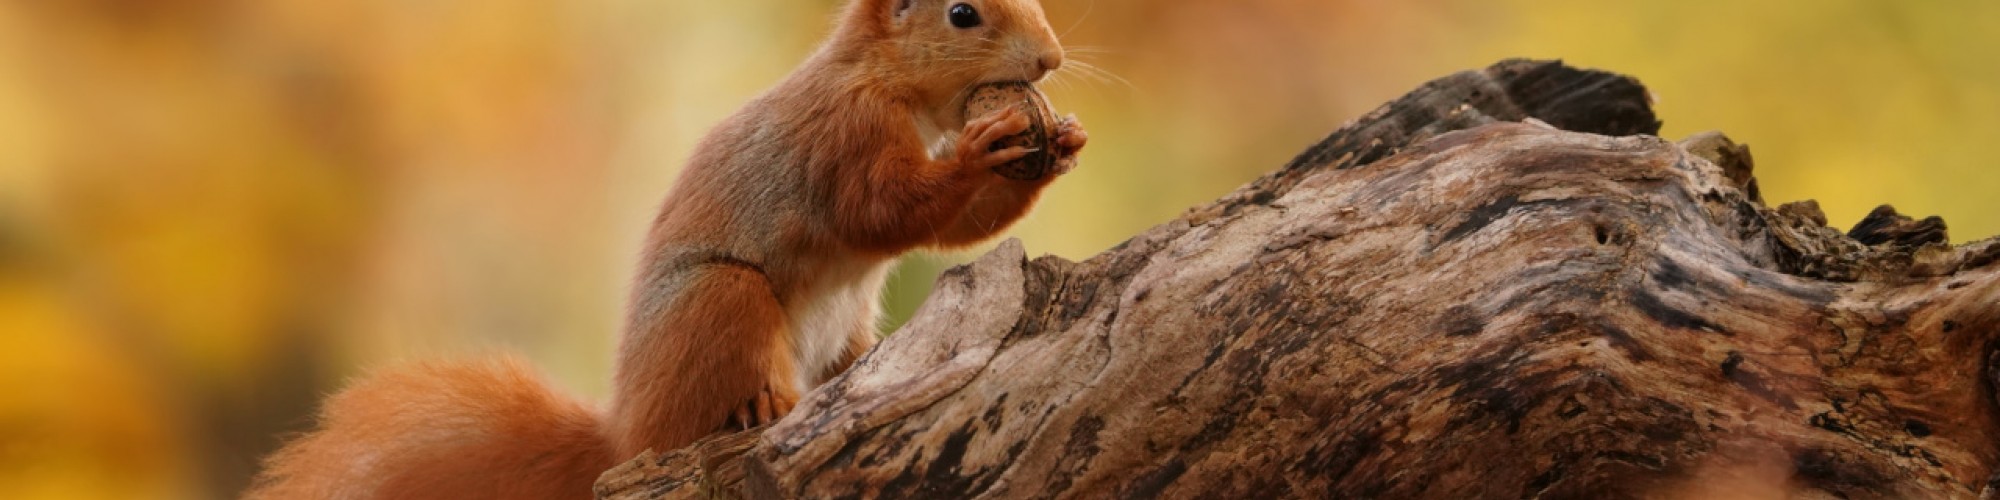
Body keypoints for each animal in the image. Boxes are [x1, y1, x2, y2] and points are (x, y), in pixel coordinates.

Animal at [254, 0, 1096, 498]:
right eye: (962, 13)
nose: (1052, 59)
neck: (888, 82)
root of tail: (622, 436)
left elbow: (953, 229)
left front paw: (1063, 144)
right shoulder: (840, 136)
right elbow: (881, 211)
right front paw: (985, 149)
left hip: (849, 335)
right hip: (721, 298)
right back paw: (762, 403)